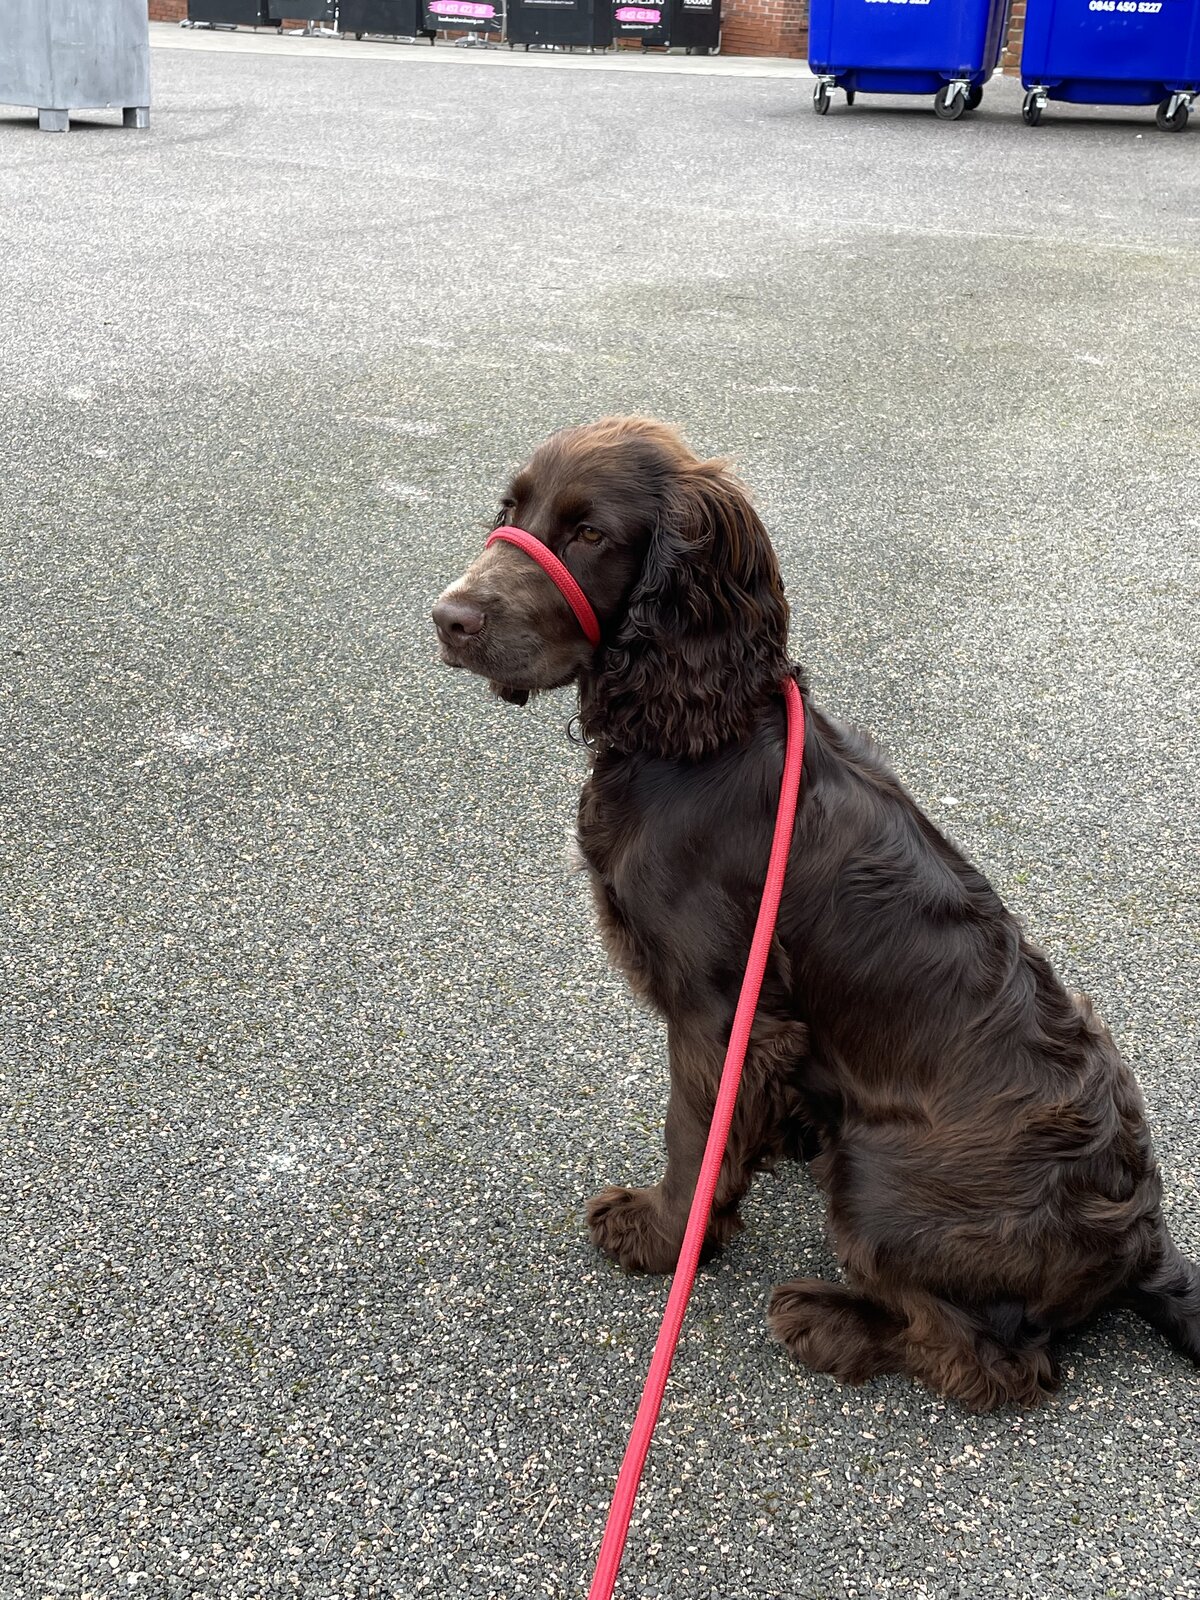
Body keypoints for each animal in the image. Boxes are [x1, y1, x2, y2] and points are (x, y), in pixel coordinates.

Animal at [432, 415, 1200, 1410]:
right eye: (511, 507)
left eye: (590, 532)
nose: (448, 618)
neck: (697, 739)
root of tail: (1141, 1241)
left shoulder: (721, 1008)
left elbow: (693, 1134)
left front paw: (662, 1233)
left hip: (880, 1180)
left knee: (993, 1358)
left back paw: (827, 1321)